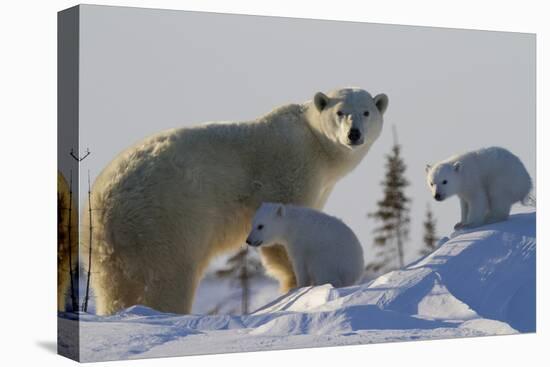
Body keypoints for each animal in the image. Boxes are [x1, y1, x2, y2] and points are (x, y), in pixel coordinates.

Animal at [84, 87, 390, 314]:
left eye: (366, 112)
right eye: (340, 112)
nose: (354, 134)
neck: (315, 142)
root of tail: (106, 202)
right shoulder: (289, 170)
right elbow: (282, 236)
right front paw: (293, 285)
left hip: (107, 250)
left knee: (113, 290)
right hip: (166, 221)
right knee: (170, 278)